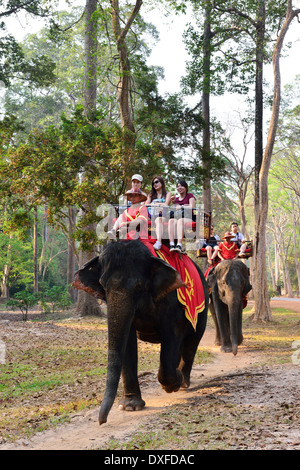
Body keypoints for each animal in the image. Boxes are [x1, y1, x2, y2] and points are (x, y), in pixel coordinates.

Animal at [72, 241, 209, 424]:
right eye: (103, 285)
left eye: (139, 286)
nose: (101, 421)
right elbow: (127, 341)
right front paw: (130, 406)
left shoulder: (171, 300)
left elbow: (171, 334)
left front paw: (173, 383)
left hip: (202, 309)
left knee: (192, 341)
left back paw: (183, 382)